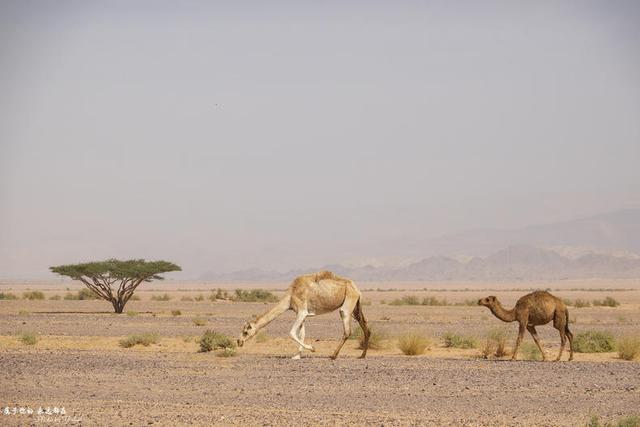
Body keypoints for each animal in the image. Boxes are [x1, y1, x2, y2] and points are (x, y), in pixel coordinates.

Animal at [236, 272, 370, 360]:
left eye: (245, 332)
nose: (239, 341)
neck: (290, 296)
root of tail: (357, 290)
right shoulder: (303, 315)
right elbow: (301, 334)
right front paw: (297, 355)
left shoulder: (301, 312)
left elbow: (291, 333)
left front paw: (312, 348)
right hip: (356, 306)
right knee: (365, 327)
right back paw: (362, 355)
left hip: (348, 303)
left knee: (347, 330)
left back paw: (333, 355)